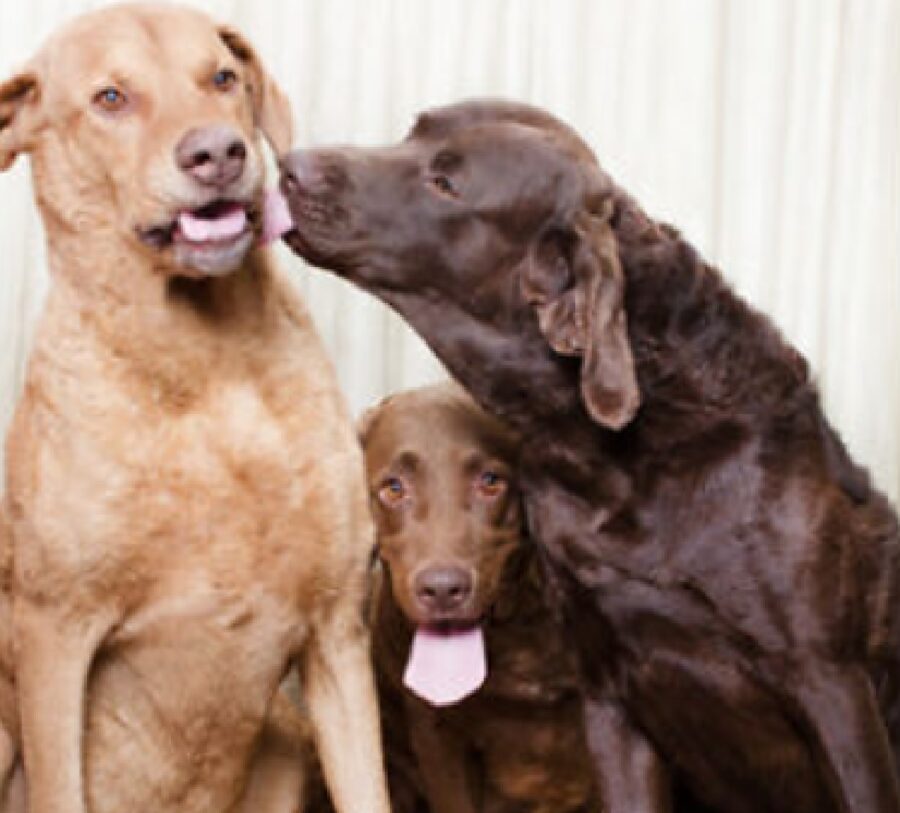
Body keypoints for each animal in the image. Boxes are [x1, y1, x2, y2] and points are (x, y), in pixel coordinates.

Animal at [0, 6, 386, 812]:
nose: (216, 152)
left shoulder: (337, 630)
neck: (207, 367)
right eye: (111, 98)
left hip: (289, 734)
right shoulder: (53, 635)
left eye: (222, 78)